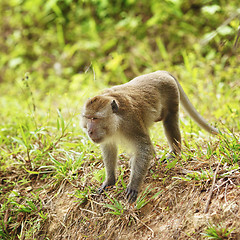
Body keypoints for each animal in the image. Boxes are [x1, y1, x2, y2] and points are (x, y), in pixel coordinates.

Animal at [81, 71, 218, 202]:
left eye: (95, 118)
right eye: (88, 118)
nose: (89, 131)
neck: (117, 121)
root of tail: (160, 72)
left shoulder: (131, 123)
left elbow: (143, 148)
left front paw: (134, 184)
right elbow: (109, 149)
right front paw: (110, 180)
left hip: (171, 92)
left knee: (169, 119)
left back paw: (174, 153)